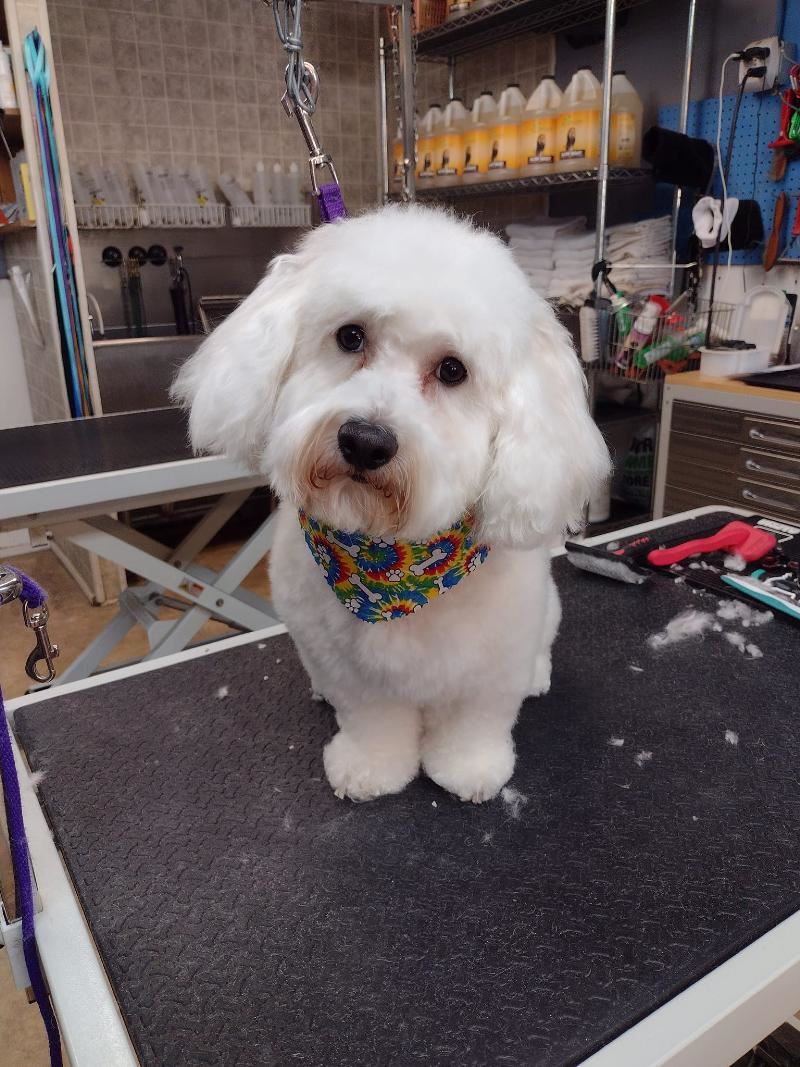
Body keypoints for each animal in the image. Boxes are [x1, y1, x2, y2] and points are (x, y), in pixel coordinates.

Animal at [173, 205, 605, 802]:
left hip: (547, 612)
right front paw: (370, 769)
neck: (393, 565)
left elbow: (475, 720)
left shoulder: (490, 666)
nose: (365, 441)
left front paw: (469, 769)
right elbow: (371, 719)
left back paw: (537, 676)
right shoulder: (350, 670)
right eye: (351, 336)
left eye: (452, 370)